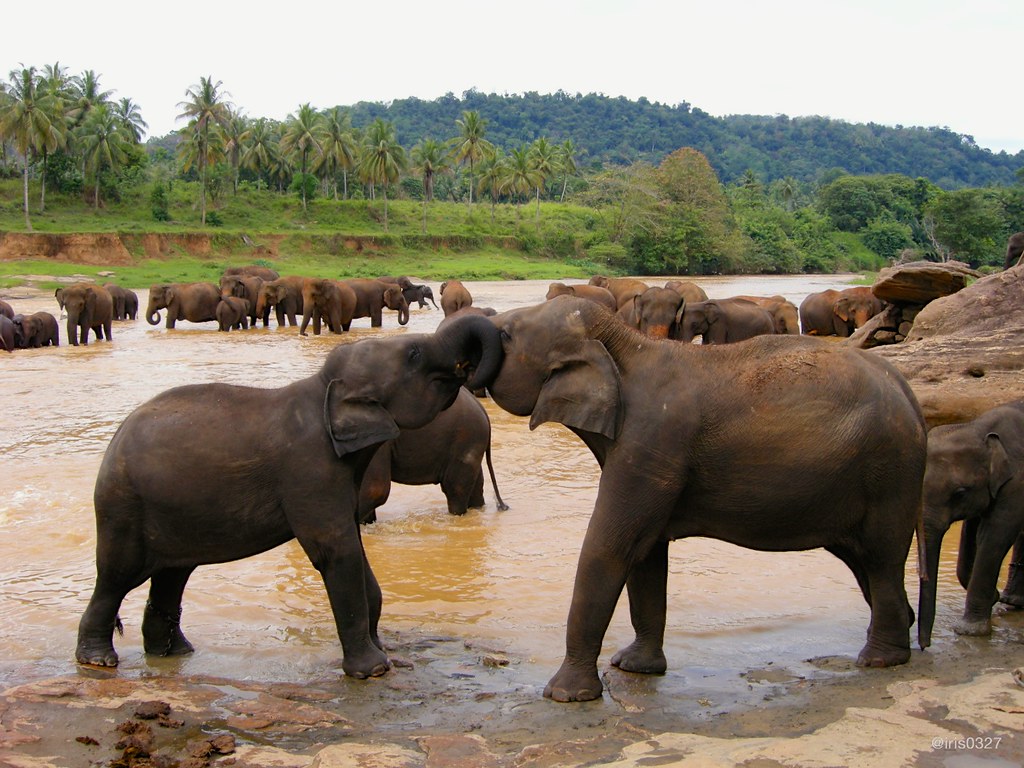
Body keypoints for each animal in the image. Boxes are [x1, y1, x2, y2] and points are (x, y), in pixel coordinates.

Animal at [469, 297, 926, 702]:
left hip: (889, 471)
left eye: (506, 335)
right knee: (862, 558)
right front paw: (635, 667)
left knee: (881, 557)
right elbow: (646, 554)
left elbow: (612, 546)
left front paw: (564, 695)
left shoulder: (654, 440)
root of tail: (909, 394)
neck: (625, 345)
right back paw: (903, 631)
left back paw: (879, 660)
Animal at [918, 400, 1024, 647]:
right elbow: (971, 532)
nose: (924, 646)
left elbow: (994, 534)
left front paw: (969, 631)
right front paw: (994, 596)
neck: (977, 429)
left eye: (959, 493)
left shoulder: (1017, 482)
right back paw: (1011, 601)